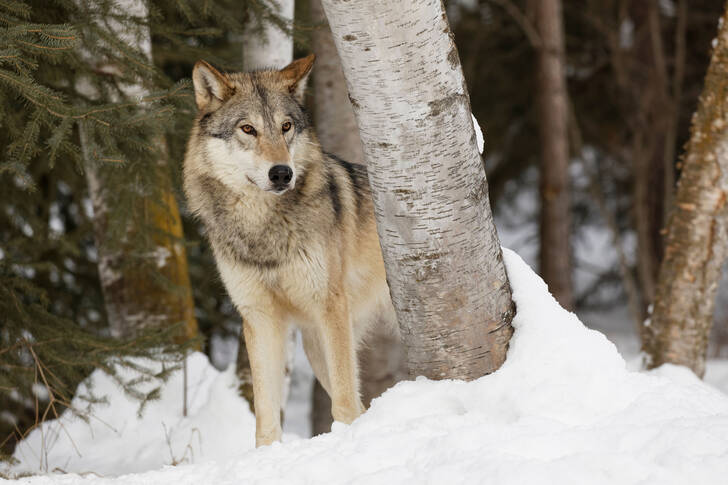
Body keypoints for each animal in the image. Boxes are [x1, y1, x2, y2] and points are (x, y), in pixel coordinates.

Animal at [183, 54, 396, 447]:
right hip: (314, 347)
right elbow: (266, 417)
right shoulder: (259, 317)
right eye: (248, 129)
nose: (282, 173)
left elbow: (344, 403)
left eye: (286, 127)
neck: (263, 228)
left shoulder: (329, 307)